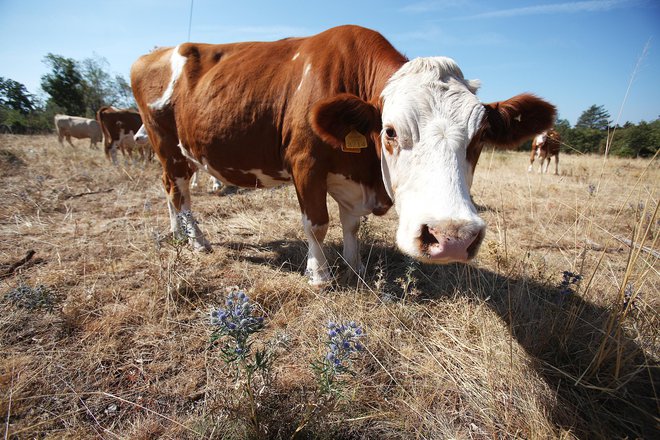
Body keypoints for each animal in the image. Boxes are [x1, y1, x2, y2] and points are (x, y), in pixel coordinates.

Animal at [130, 24, 556, 286]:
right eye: (390, 130)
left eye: (480, 136)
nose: (451, 238)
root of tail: (154, 53)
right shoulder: (305, 164)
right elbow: (317, 223)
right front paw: (319, 274)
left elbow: (351, 224)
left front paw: (356, 266)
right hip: (167, 145)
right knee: (178, 190)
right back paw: (197, 241)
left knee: (171, 191)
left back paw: (178, 235)